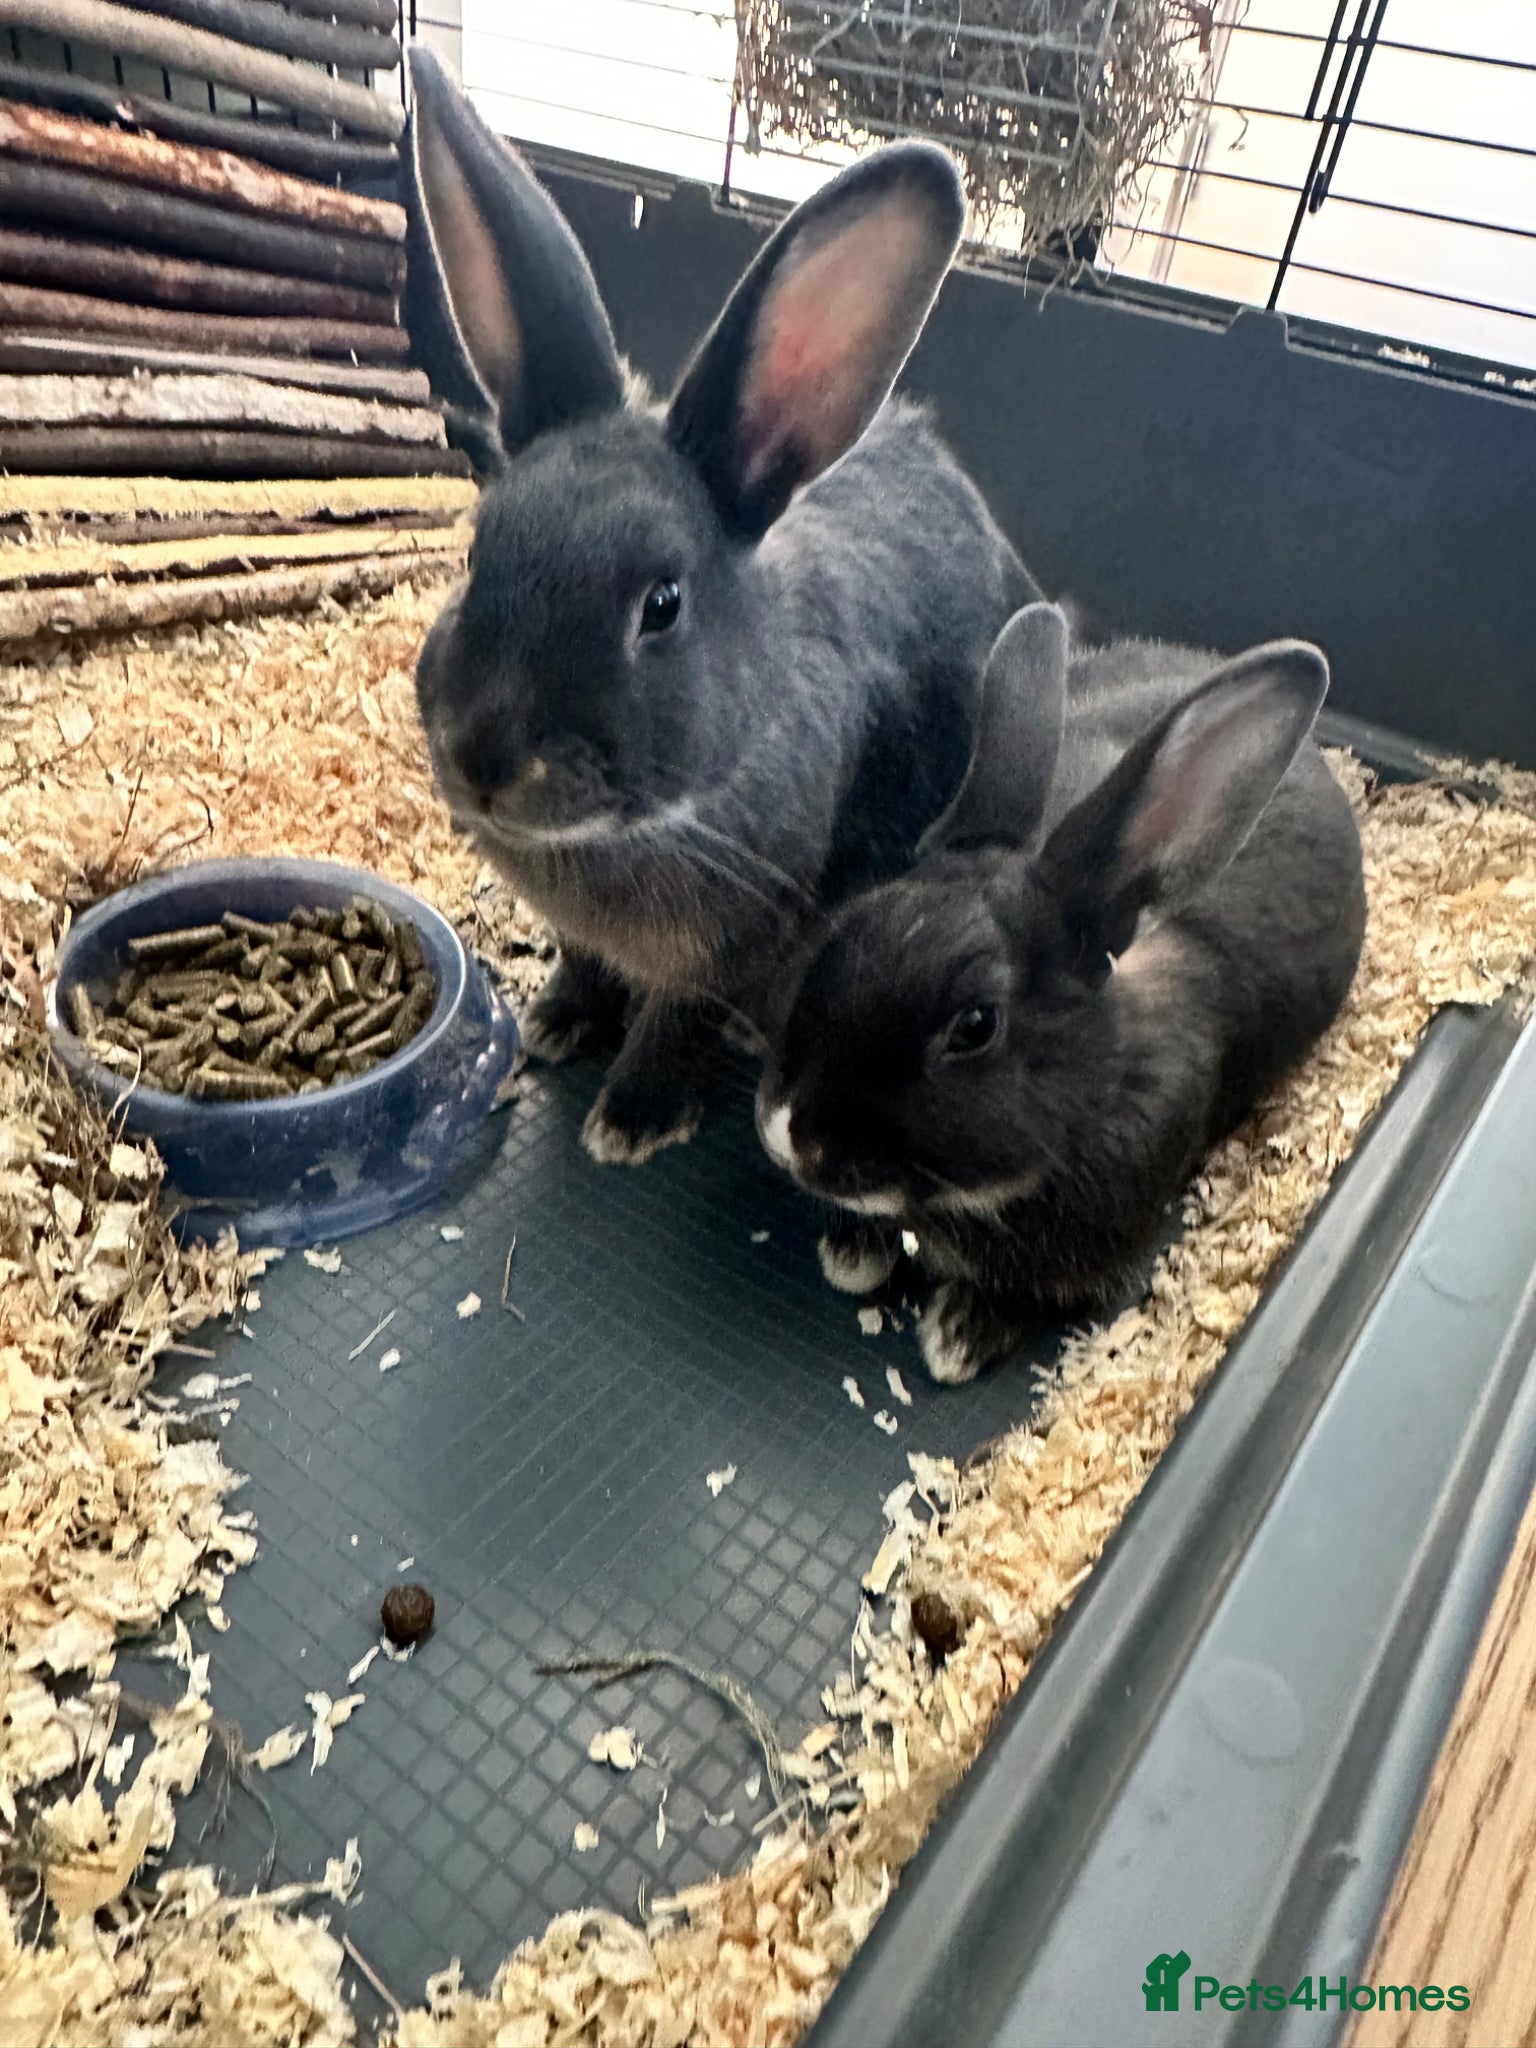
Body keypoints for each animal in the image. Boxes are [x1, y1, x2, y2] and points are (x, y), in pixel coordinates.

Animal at [404, 48, 1045, 1166]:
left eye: (661, 604)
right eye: (477, 556)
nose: (485, 760)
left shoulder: (738, 940)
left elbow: (679, 1019)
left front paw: (631, 1118)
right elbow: (584, 963)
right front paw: (560, 1021)